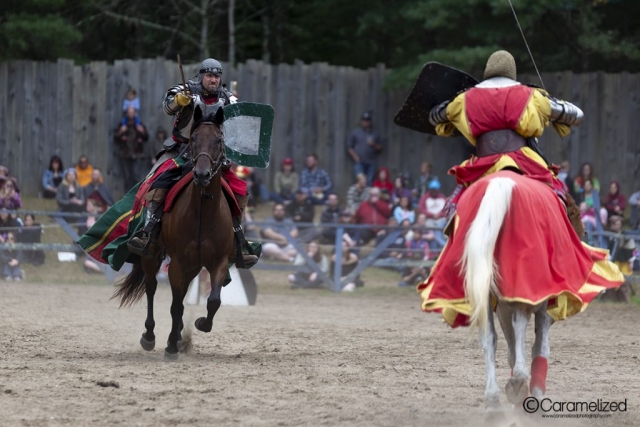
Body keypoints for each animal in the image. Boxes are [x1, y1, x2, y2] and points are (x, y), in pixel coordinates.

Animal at [112, 105, 232, 360]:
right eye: (194, 139)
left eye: (219, 140)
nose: (202, 175)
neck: (203, 211)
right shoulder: (177, 262)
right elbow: (175, 305)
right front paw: (171, 349)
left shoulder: (219, 262)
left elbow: (213, 301)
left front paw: (200, 324)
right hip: (152, 256)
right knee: (151, 289)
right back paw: (151, 336)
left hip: (193, 266)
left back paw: (175, 336)